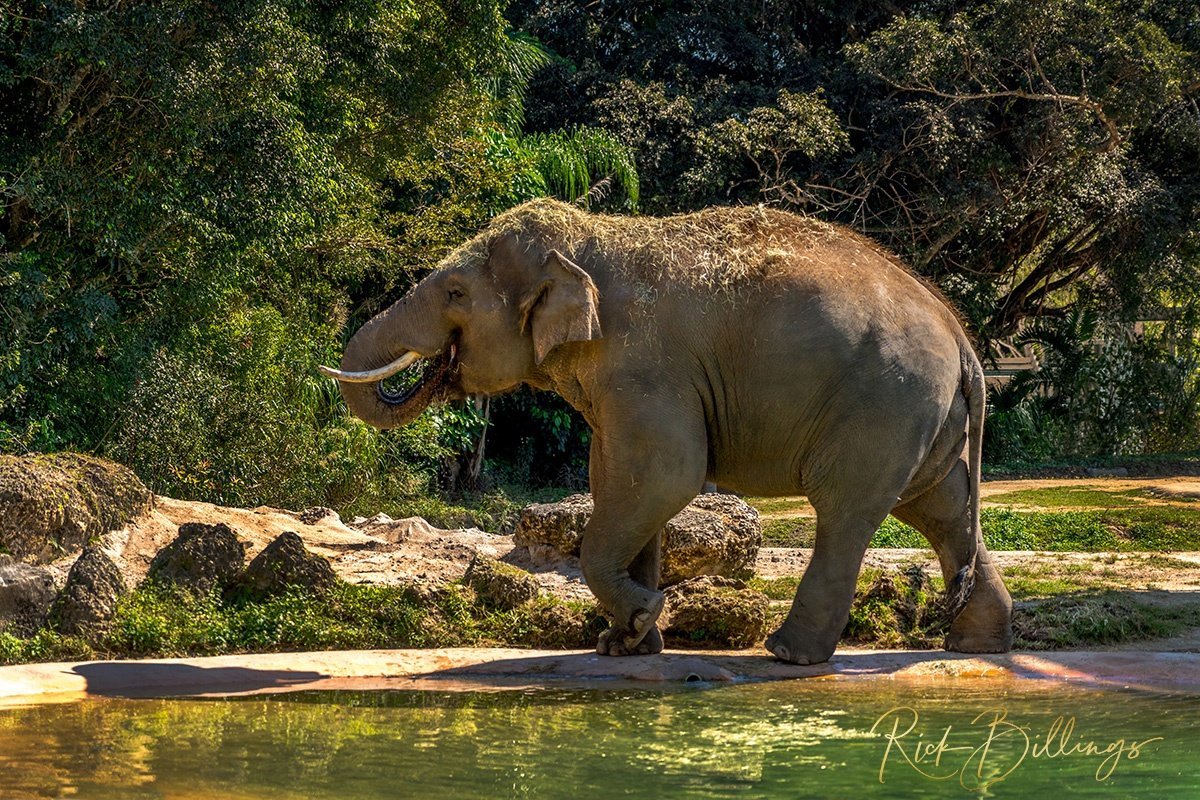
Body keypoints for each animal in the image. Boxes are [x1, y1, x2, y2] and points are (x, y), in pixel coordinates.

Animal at [320, 198, 1013, 664]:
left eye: (455, 293)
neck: (590, 236)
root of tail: (961, 338)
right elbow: (618, 479)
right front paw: (625, 644)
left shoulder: (644, 365)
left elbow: (666, 474)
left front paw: (639, 620)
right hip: (924, 417)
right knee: (941, 507)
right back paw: (977, 645)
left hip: (884, 403)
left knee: (848, 509)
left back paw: (786, 653)